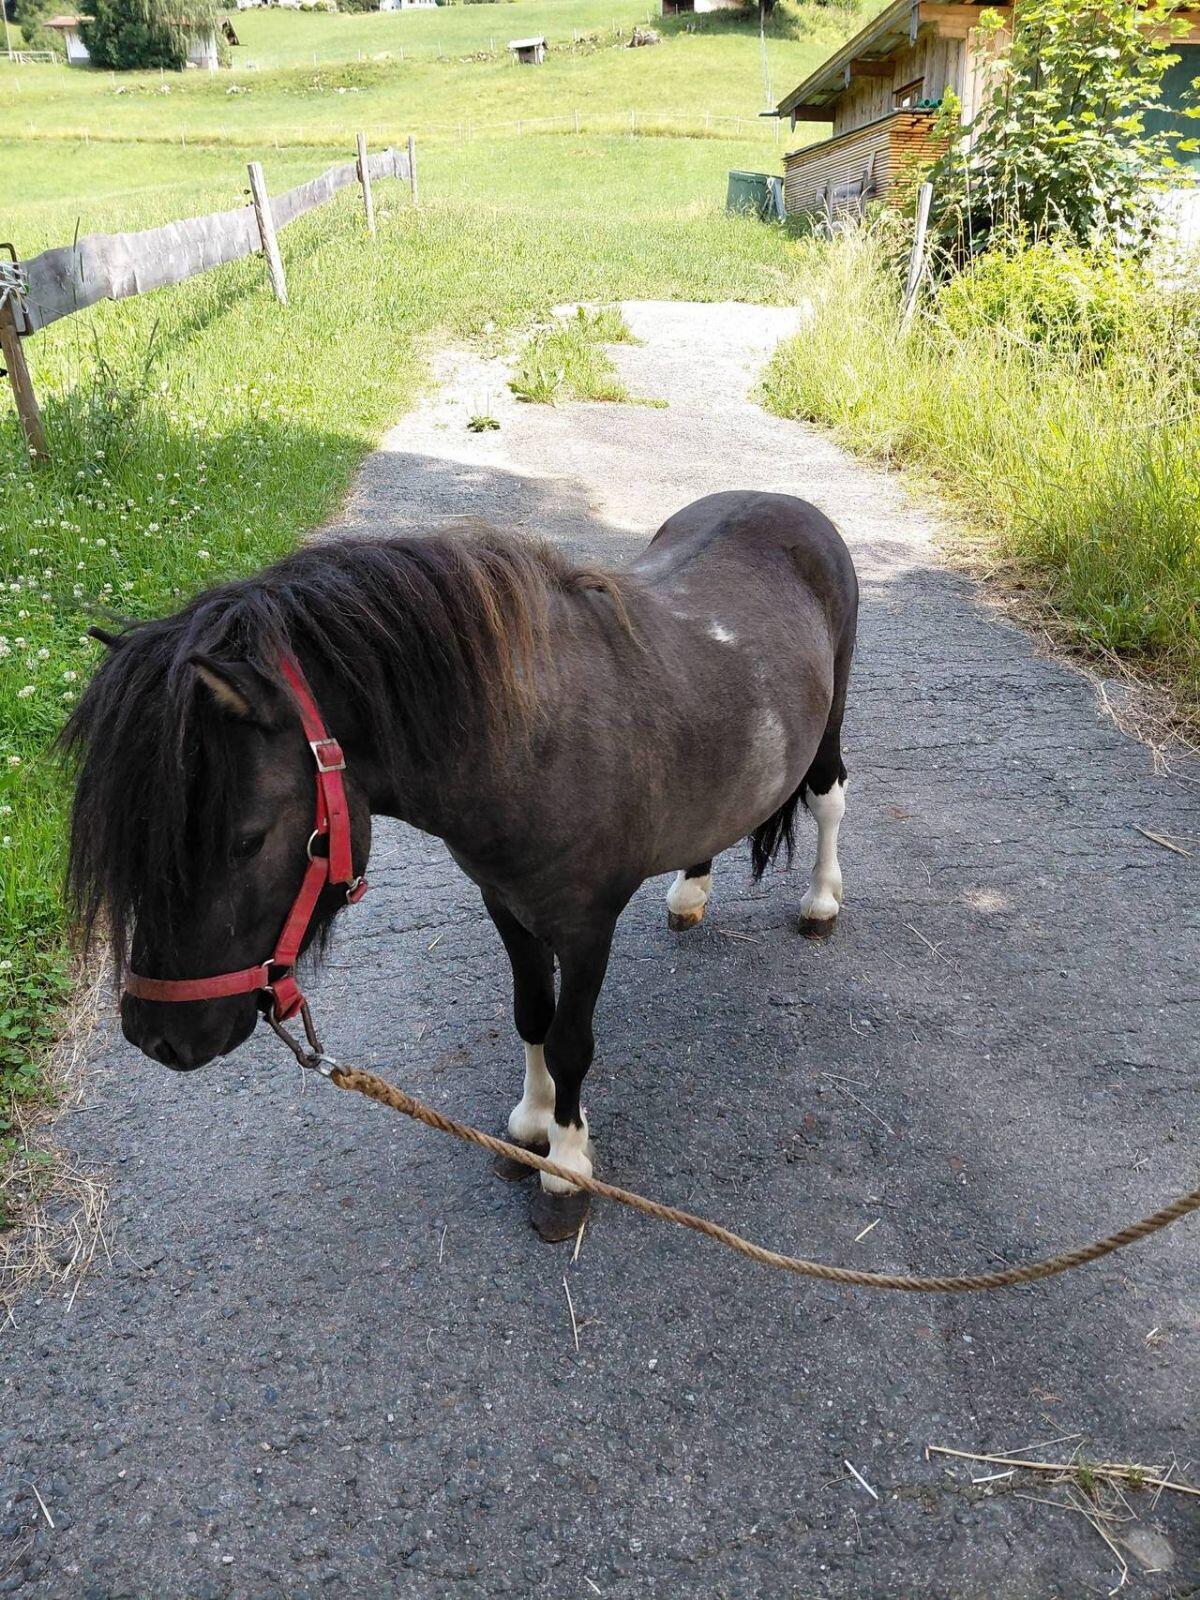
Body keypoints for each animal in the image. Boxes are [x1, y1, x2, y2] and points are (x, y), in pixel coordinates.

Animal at [65, 490, 858, 1240]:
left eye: (248, 840)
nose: (156, 1037)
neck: (533, 740)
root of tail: (789, 507)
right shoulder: (504, 902)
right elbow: (531, 1013)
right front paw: (531, 1127)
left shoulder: (586, 926)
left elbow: (571, 1042)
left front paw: (565, 1168)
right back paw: (691, 891)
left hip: (830, 724)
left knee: (828, 798)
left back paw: (821, 903)